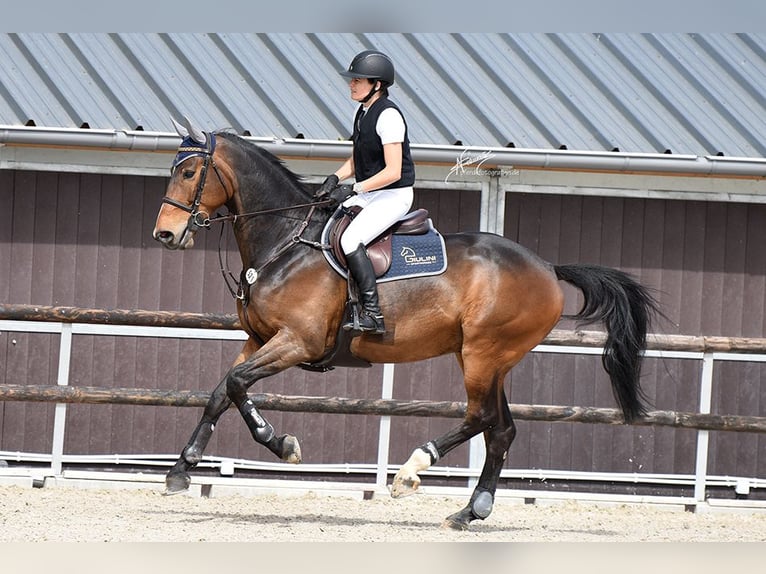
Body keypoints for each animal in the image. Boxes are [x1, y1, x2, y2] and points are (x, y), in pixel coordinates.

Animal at [152, 117, 660, 532]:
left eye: (190, 173)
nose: (165, 235)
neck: (285, 241)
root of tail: (549, 268)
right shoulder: (259, 338)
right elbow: (222, 390)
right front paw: (180, 470)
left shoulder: (298, 341)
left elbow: (238, 384)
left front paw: (282, 445)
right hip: (486, 358)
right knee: (501, 429)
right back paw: (469, 511)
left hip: (484, 353)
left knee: (480, 417)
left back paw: (411, 472)